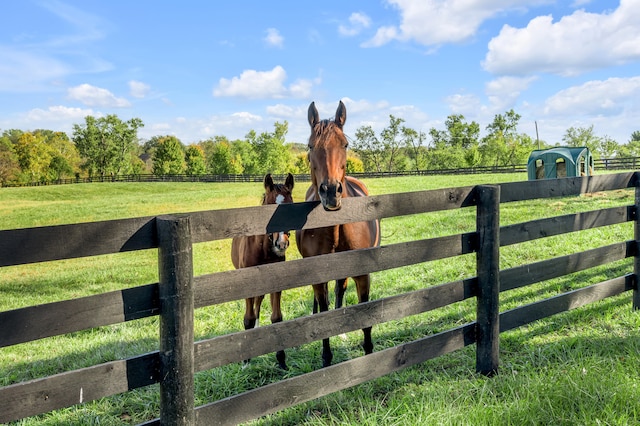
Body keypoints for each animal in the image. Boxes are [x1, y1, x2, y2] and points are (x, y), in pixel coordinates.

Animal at [232, 173, 296, 370]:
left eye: (292, 206)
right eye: (268, 207)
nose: (281, 244)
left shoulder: (275, 284)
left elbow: (276, 317)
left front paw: (281, 360)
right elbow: (248, 318)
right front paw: (245, 362)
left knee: (258, 304)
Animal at [296, 100, 380, 366]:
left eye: (345, 144)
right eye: (311, 146)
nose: (331, 192)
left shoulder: (362, 273)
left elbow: (364, 314)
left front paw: (369, 353)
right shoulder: (318, 275)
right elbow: (323, 315)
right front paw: (326, 358)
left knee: (340, 290)